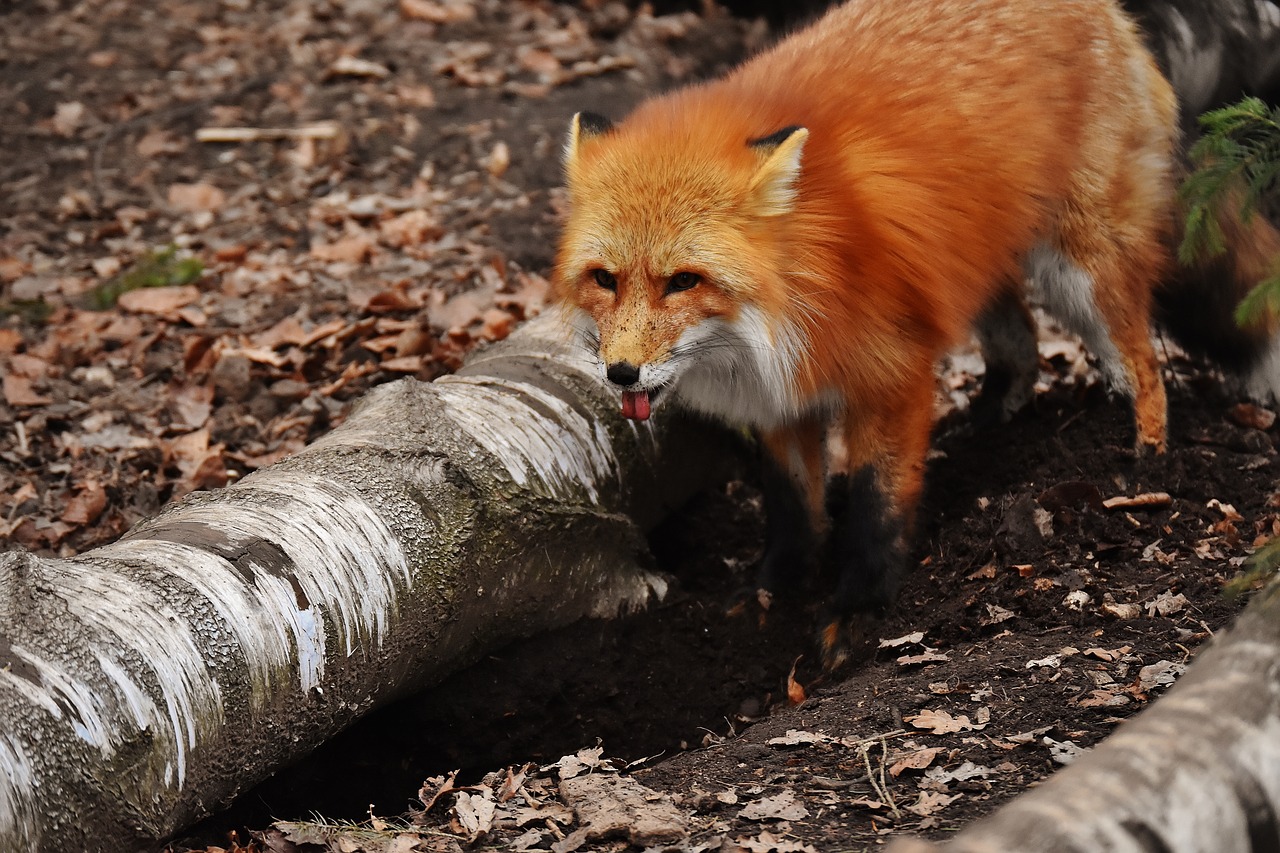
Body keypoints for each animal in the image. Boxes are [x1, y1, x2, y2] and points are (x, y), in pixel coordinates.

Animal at [550, 0, 1177, 666]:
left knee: (1142, 365)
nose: (620, 373)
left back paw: (1146, 465)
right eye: (605, 278)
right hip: (973, 265)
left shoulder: (891, 374)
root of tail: (1107, 13)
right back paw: (988, 426)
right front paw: (774, 589)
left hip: (1080, 266)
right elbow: (794, 507)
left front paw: (859, 610)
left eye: (683, 281)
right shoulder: (777, 396)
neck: (796, 291)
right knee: (1023, 343)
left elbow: (877, 504)